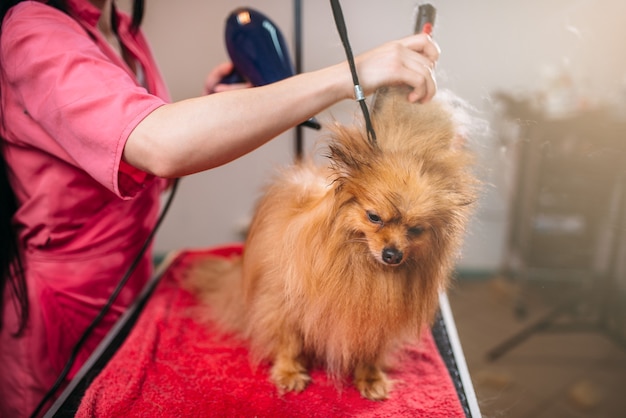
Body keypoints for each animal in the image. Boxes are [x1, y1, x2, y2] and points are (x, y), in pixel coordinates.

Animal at [186, 85, 478, 402]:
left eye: (415, 229)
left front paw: (371, 377)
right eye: (374, 217)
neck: (360, 265)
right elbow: (288, 341)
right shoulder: (282, 304)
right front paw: (289, 371)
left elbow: (370, 352)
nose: (392, 254)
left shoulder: (375, 322)